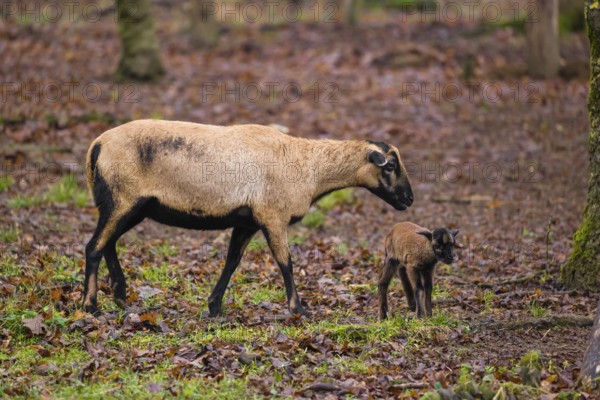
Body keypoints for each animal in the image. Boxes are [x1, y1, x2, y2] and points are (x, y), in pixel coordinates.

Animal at [83, 120, 412, 318]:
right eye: (390, 165)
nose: (409, 199)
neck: (309, 166)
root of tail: (97, 144)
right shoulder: (272, 216)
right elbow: (286, 262)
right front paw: (299, 310)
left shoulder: (247, 221)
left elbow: (232, 262)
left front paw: (214, 307)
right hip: (122, 200)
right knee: (94, 247)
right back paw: (91, 306)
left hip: (131, 206)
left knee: (108, 243)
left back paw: (120, 295)